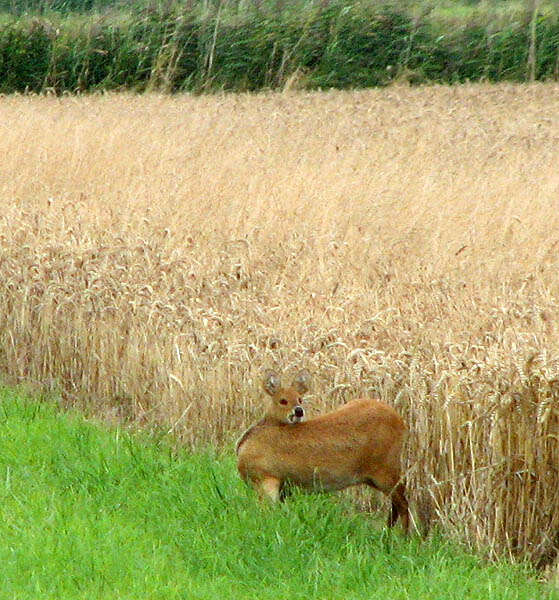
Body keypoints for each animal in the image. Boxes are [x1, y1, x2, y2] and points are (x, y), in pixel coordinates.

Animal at [234, 370, 410, 528]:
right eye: (283, 400)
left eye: (300, 399)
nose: (299, 410)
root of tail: (401, 422)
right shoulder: (284, 487)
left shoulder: (266, 478)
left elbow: (267, 512)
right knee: (397, 503)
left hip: (386, 468)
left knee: (403, 502)